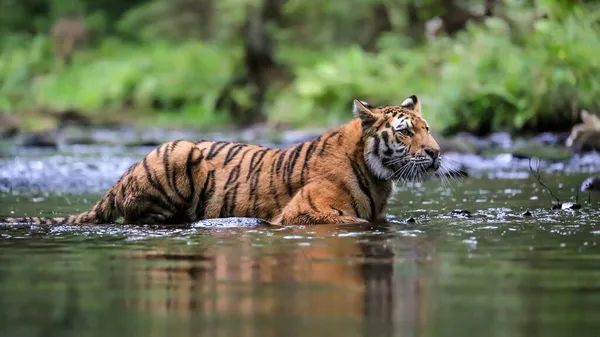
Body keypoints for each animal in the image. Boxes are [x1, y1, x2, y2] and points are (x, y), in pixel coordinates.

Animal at [0, 94, 440, 226]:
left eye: (428, 128)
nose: (437, 152)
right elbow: (353, 222)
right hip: (178, 152)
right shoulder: (305, 211)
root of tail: (121, 176)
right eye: (405, 132)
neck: (378, 176)